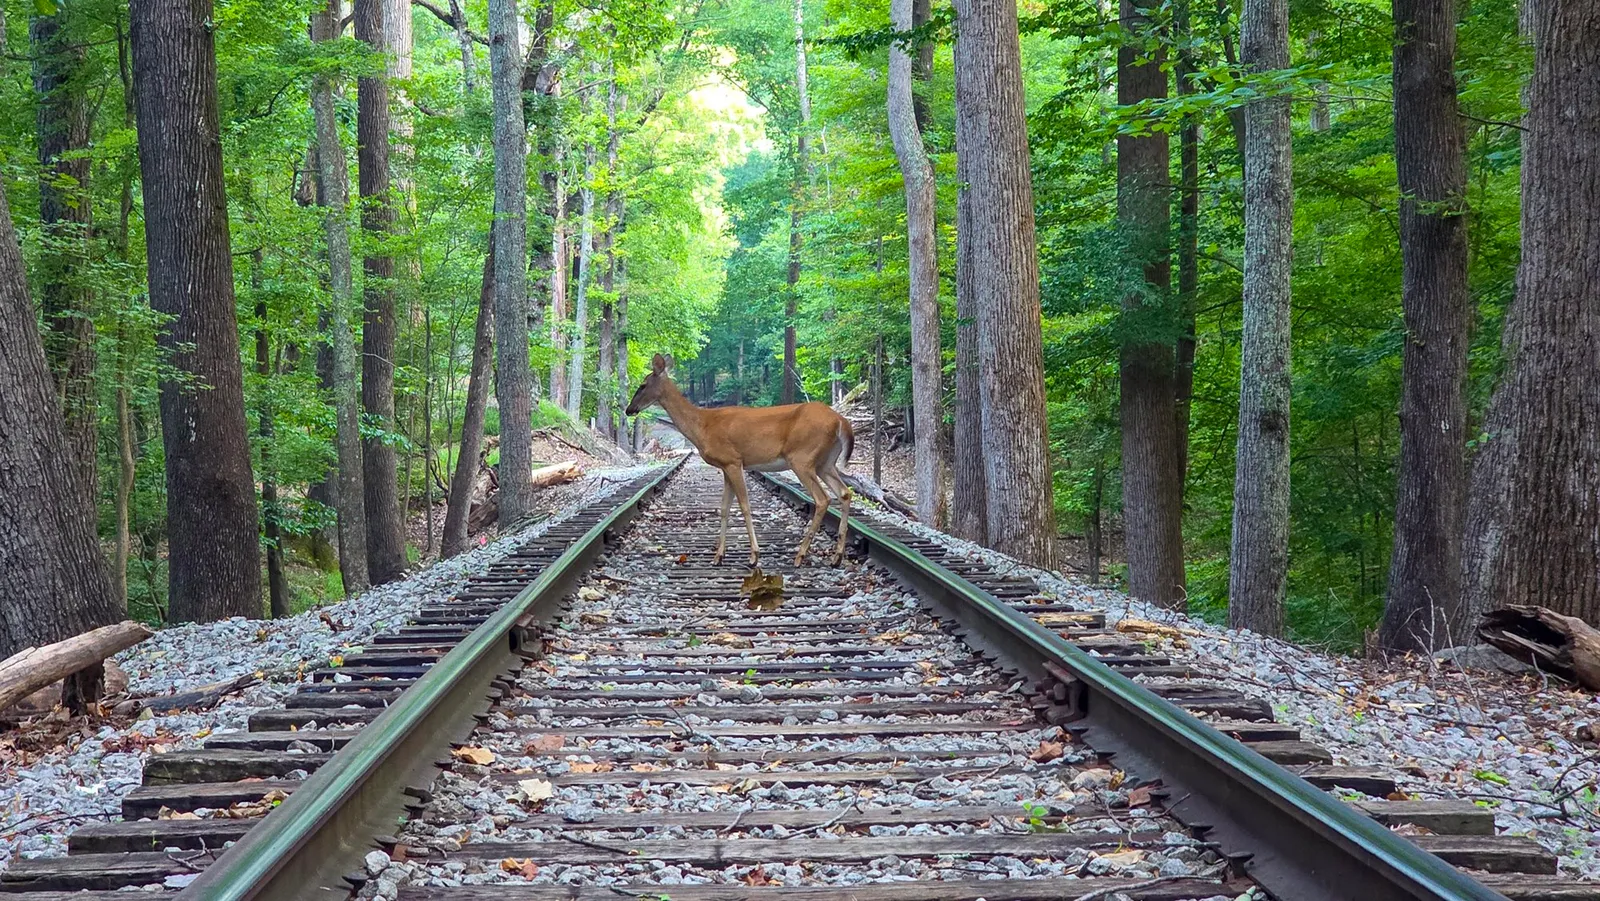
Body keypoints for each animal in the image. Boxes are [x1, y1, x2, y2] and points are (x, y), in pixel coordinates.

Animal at [625, 354, 854, 567]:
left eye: (642, 385)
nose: (629, 409)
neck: (703, 426)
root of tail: (840, 420)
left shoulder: (733, 461)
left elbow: (744, 505)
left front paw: (754, 555)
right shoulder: (726, 466)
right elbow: (724, 508)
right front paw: (718, 556)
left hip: (802, 457)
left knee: (822, 499)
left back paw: (801, 555)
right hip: (825, 462)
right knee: (844, 493)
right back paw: (836, 557)